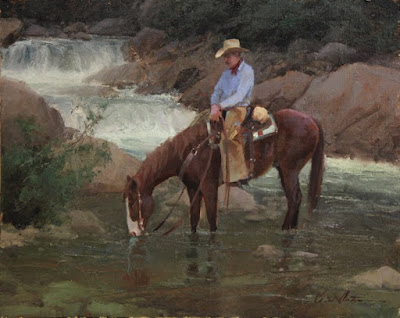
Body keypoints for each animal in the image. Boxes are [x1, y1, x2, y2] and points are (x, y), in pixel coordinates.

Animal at [123, 109, 324, 236]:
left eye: (132, 201)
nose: (133, 232)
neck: (191, 151)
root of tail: (312, 120)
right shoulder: (193, 188)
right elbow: (194, 220)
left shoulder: (209, 186)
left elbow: (212, 221)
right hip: (283, 170)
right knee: (294, 199)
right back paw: (291, 228)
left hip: (289, 170)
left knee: (295, 198)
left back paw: (284, 229)